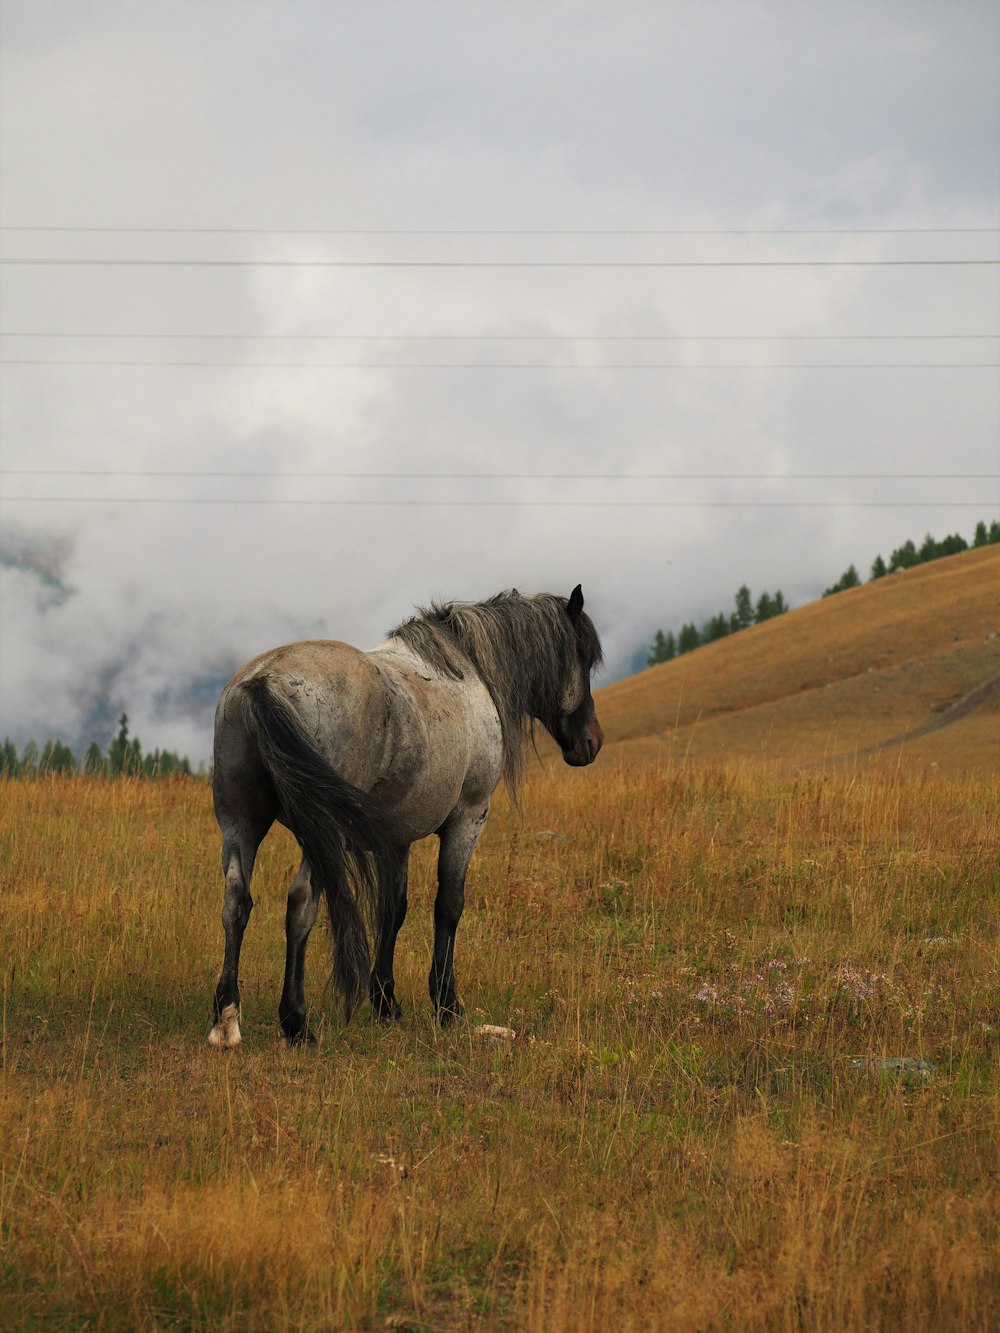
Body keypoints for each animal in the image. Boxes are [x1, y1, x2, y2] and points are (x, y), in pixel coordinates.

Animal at [208, 589, 608, 1045]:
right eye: (582, 658)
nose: (591, 743)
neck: (467, 672)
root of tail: (263, 682)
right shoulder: (468, 817)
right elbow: (449, 905)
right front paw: (447, 1005)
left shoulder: (395, 839)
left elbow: (393, 911)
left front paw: (386, 1003)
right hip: (321, 834)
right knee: (301, 903)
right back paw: (296, 1022)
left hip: (241, 822)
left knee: (236, 902)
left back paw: (227, 1020)